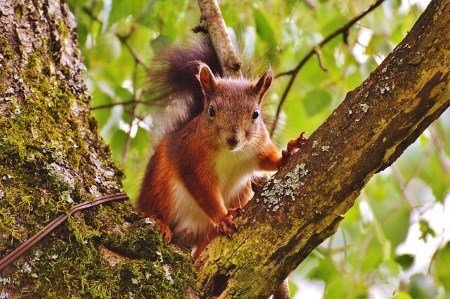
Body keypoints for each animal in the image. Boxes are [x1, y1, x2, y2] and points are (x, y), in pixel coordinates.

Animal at [137, 38, 306, 258]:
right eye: (211, 110)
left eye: (256, 114)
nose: (233, 139)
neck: (231, 153)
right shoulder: (192, 161)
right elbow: (205, 192)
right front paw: (223, 218)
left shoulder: (258, 148)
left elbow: (269, 160)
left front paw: (288, 152)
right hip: (159, 187)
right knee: (151, 209)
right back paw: (160, 223)